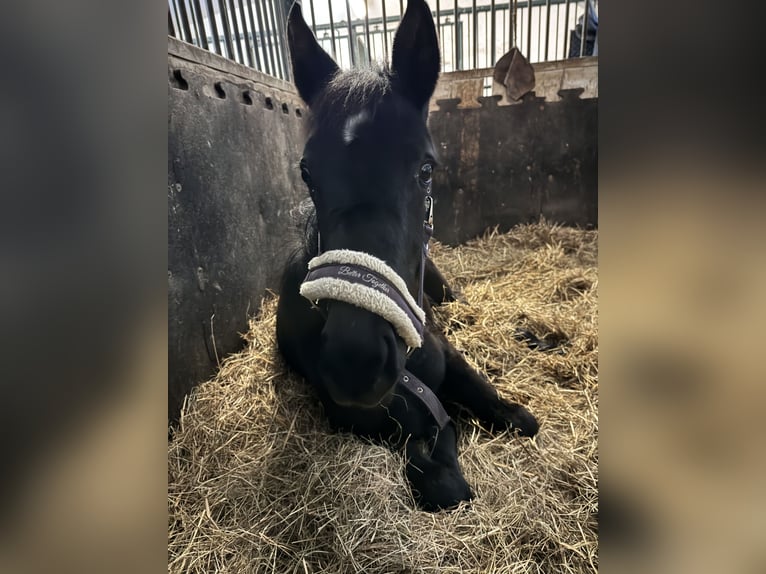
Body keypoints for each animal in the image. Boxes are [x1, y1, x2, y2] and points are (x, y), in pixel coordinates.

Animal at [278, 0, 540, 512]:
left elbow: (512, 414)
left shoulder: (448, 355)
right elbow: (440, 471)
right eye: (307, 172)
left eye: (426, 169)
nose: (355, 361)